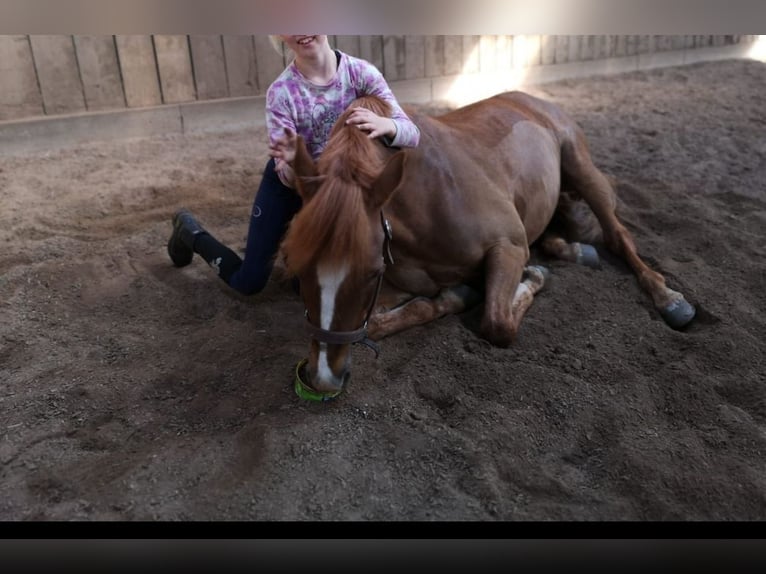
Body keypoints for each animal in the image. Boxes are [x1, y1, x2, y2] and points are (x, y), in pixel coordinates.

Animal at [280, 92, 696, 400]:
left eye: (371, 272)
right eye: (298, 270)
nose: (322, 378)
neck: (421, 197)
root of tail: (534, 100)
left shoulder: (507, 246)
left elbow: (498, 323)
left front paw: (531, 278)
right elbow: (382, 322)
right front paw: (458, 294)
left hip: (582, 169)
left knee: (617, 235)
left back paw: (670, 300)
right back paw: (576, 251)